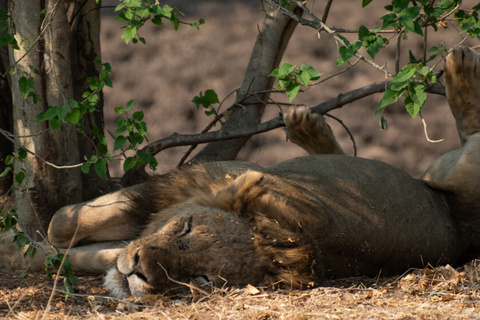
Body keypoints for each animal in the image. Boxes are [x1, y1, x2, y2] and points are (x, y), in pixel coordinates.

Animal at [2, 47, 480, 300]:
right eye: (184, 229)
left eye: (198, 279)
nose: (138, 270)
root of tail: (462, 233)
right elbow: (66, 233)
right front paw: (25, 248)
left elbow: (67, 235)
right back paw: (306, 124)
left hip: (457, 168)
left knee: (471, 132)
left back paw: (460, 72)